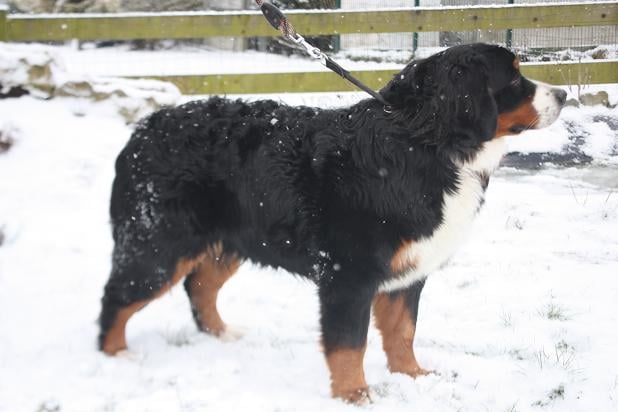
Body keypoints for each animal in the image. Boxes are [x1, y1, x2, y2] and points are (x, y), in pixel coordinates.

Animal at [98, 43, 566, 402]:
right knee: (118, 297)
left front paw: (412, 377)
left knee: (200, 287)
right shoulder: (349, 275)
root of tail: (144, 129)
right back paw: (116, 355)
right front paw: (354, 395)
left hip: (232, 241)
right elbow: (348, 343)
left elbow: (402, 331)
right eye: (513, 78)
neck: (423, 144)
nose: (562, 93)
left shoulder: (408, 272)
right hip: (157, 245)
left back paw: (221, 334)